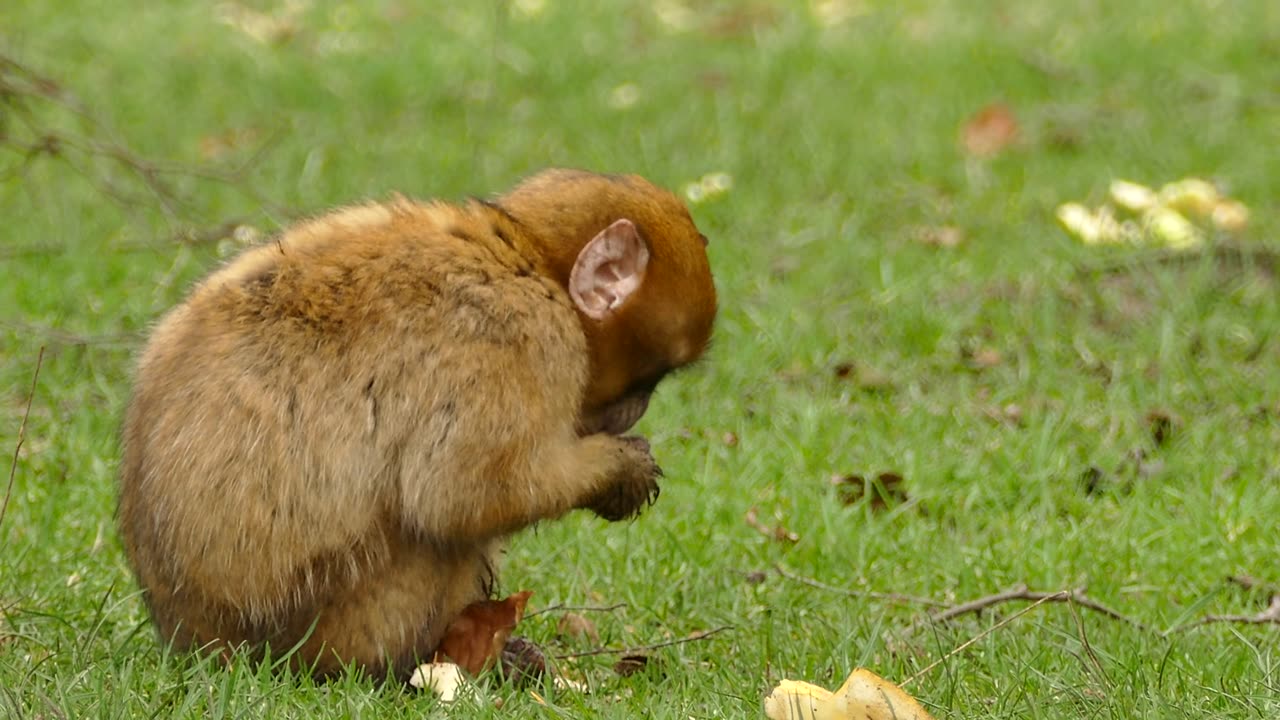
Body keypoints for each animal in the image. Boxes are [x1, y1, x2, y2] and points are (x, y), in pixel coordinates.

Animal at [117, 167, 721, 676]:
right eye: (652, 377)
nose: (638, 409)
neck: (526, 257)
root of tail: (195, 641)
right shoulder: (519, 336)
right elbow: (463, 495)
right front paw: (620, 469)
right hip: (340, 625)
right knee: (435, 534)